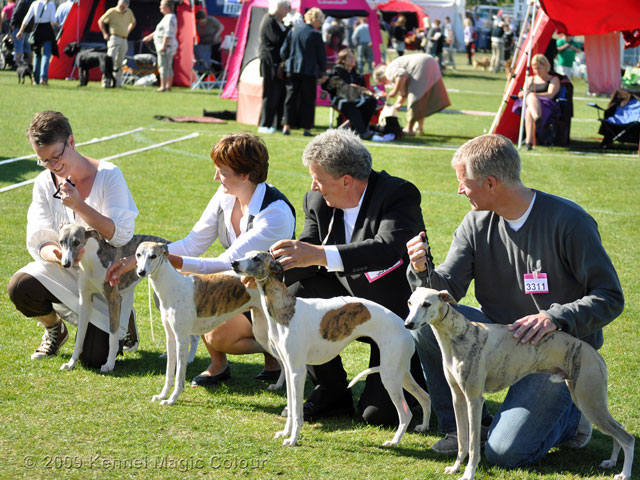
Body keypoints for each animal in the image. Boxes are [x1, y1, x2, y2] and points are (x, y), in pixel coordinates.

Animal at [58, 224, 167, 372]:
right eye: (61, 242)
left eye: (76, 242)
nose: (66, 264)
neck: (91, 260)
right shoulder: (85, 300)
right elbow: (80, 336)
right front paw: (71, 363)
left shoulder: (114, 299)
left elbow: (112, 336)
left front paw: (109, 364)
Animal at [135, 242, 284, 406]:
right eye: (138, 254)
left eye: (153, 256)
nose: (141, 272)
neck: (172, 286)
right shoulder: (171, 337)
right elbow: (169, 372)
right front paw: (162, 396)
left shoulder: (182, 339)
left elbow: (179, 374)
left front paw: (172, 399)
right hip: (261, 333)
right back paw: (278, 385)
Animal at [231, 251, 431, 447]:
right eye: (246, 254)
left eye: (256, 258)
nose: (234, 263)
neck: (286, 309)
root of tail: (405, 326)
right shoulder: (288, 369)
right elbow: (291, 405)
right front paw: (285, 433)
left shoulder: (297, 371)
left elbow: (297, 410)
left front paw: (293, 439)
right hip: (399, 371)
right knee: (425, 397)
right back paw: (423, 426)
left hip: (389, 375)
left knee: (405, 413)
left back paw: (394, 441)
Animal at [404, 288, 634, 480]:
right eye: (409, 302)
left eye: (426, 304)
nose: (408, 324)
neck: (459, 335)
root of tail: (595, 355)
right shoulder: (458, 398)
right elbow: (462, 440)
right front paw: (455, 467)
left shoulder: (474, 400)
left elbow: (473, 444)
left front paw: (468, 474)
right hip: (585, 398)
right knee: (619, 429)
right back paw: (611, 462)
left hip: (589, 401)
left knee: (627, 437)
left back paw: (624, 473)